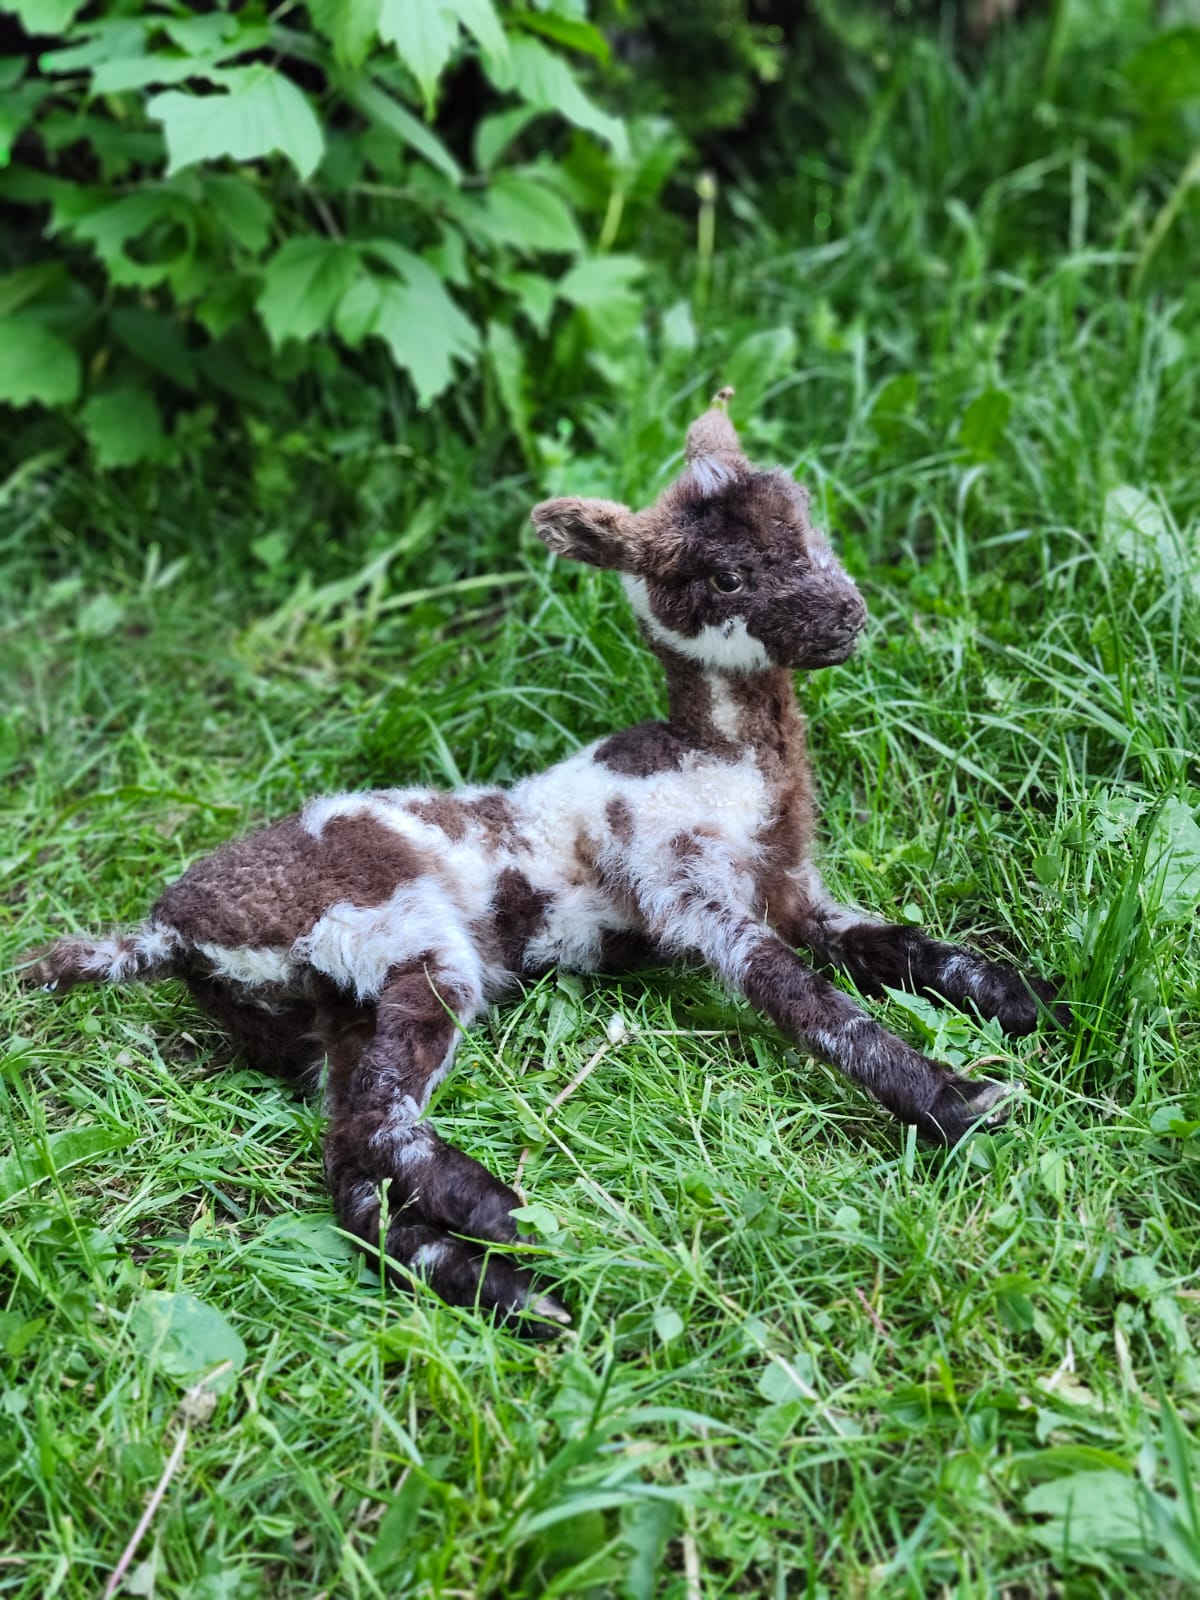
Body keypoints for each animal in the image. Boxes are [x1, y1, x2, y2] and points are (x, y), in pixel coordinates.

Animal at [21, 392, 1064, 1333]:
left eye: (809, 522)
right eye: (727, 577)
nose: (846, 616)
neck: (718, 766)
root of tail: (165, 934)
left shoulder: (789, 888)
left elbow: (896, 942)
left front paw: (1030, 1002)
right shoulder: (681, 883)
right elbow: (804, 998)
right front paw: (961, 1101)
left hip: (335, 1012)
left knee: (350, 1164)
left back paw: (508, 1291)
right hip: (412, 940)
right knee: (384, 1121)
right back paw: (515, 1222)